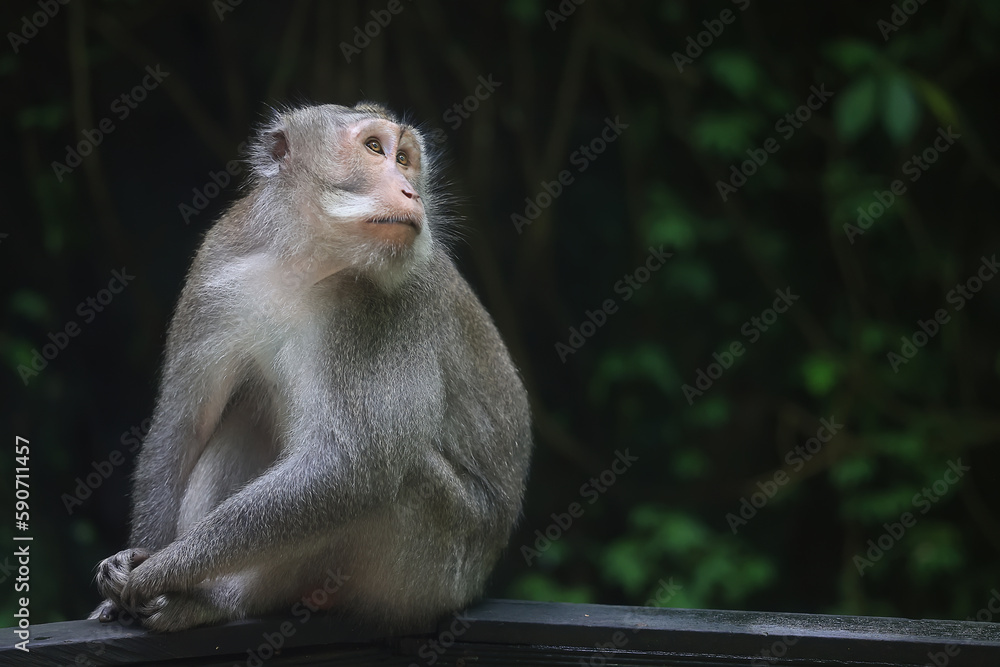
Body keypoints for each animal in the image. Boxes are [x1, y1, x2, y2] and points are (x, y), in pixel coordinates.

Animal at [89, 102, 532, 633]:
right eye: (374, 148)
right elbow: (183, 426)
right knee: (247, 414)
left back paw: (216, 602)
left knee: (390, 477)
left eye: (405, 159)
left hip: (437, 572)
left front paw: (157, 571)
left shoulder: (390, 304)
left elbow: (349, 469)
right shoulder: (217, 270)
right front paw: (134, 563)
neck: (306, 260)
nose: (409, 191)